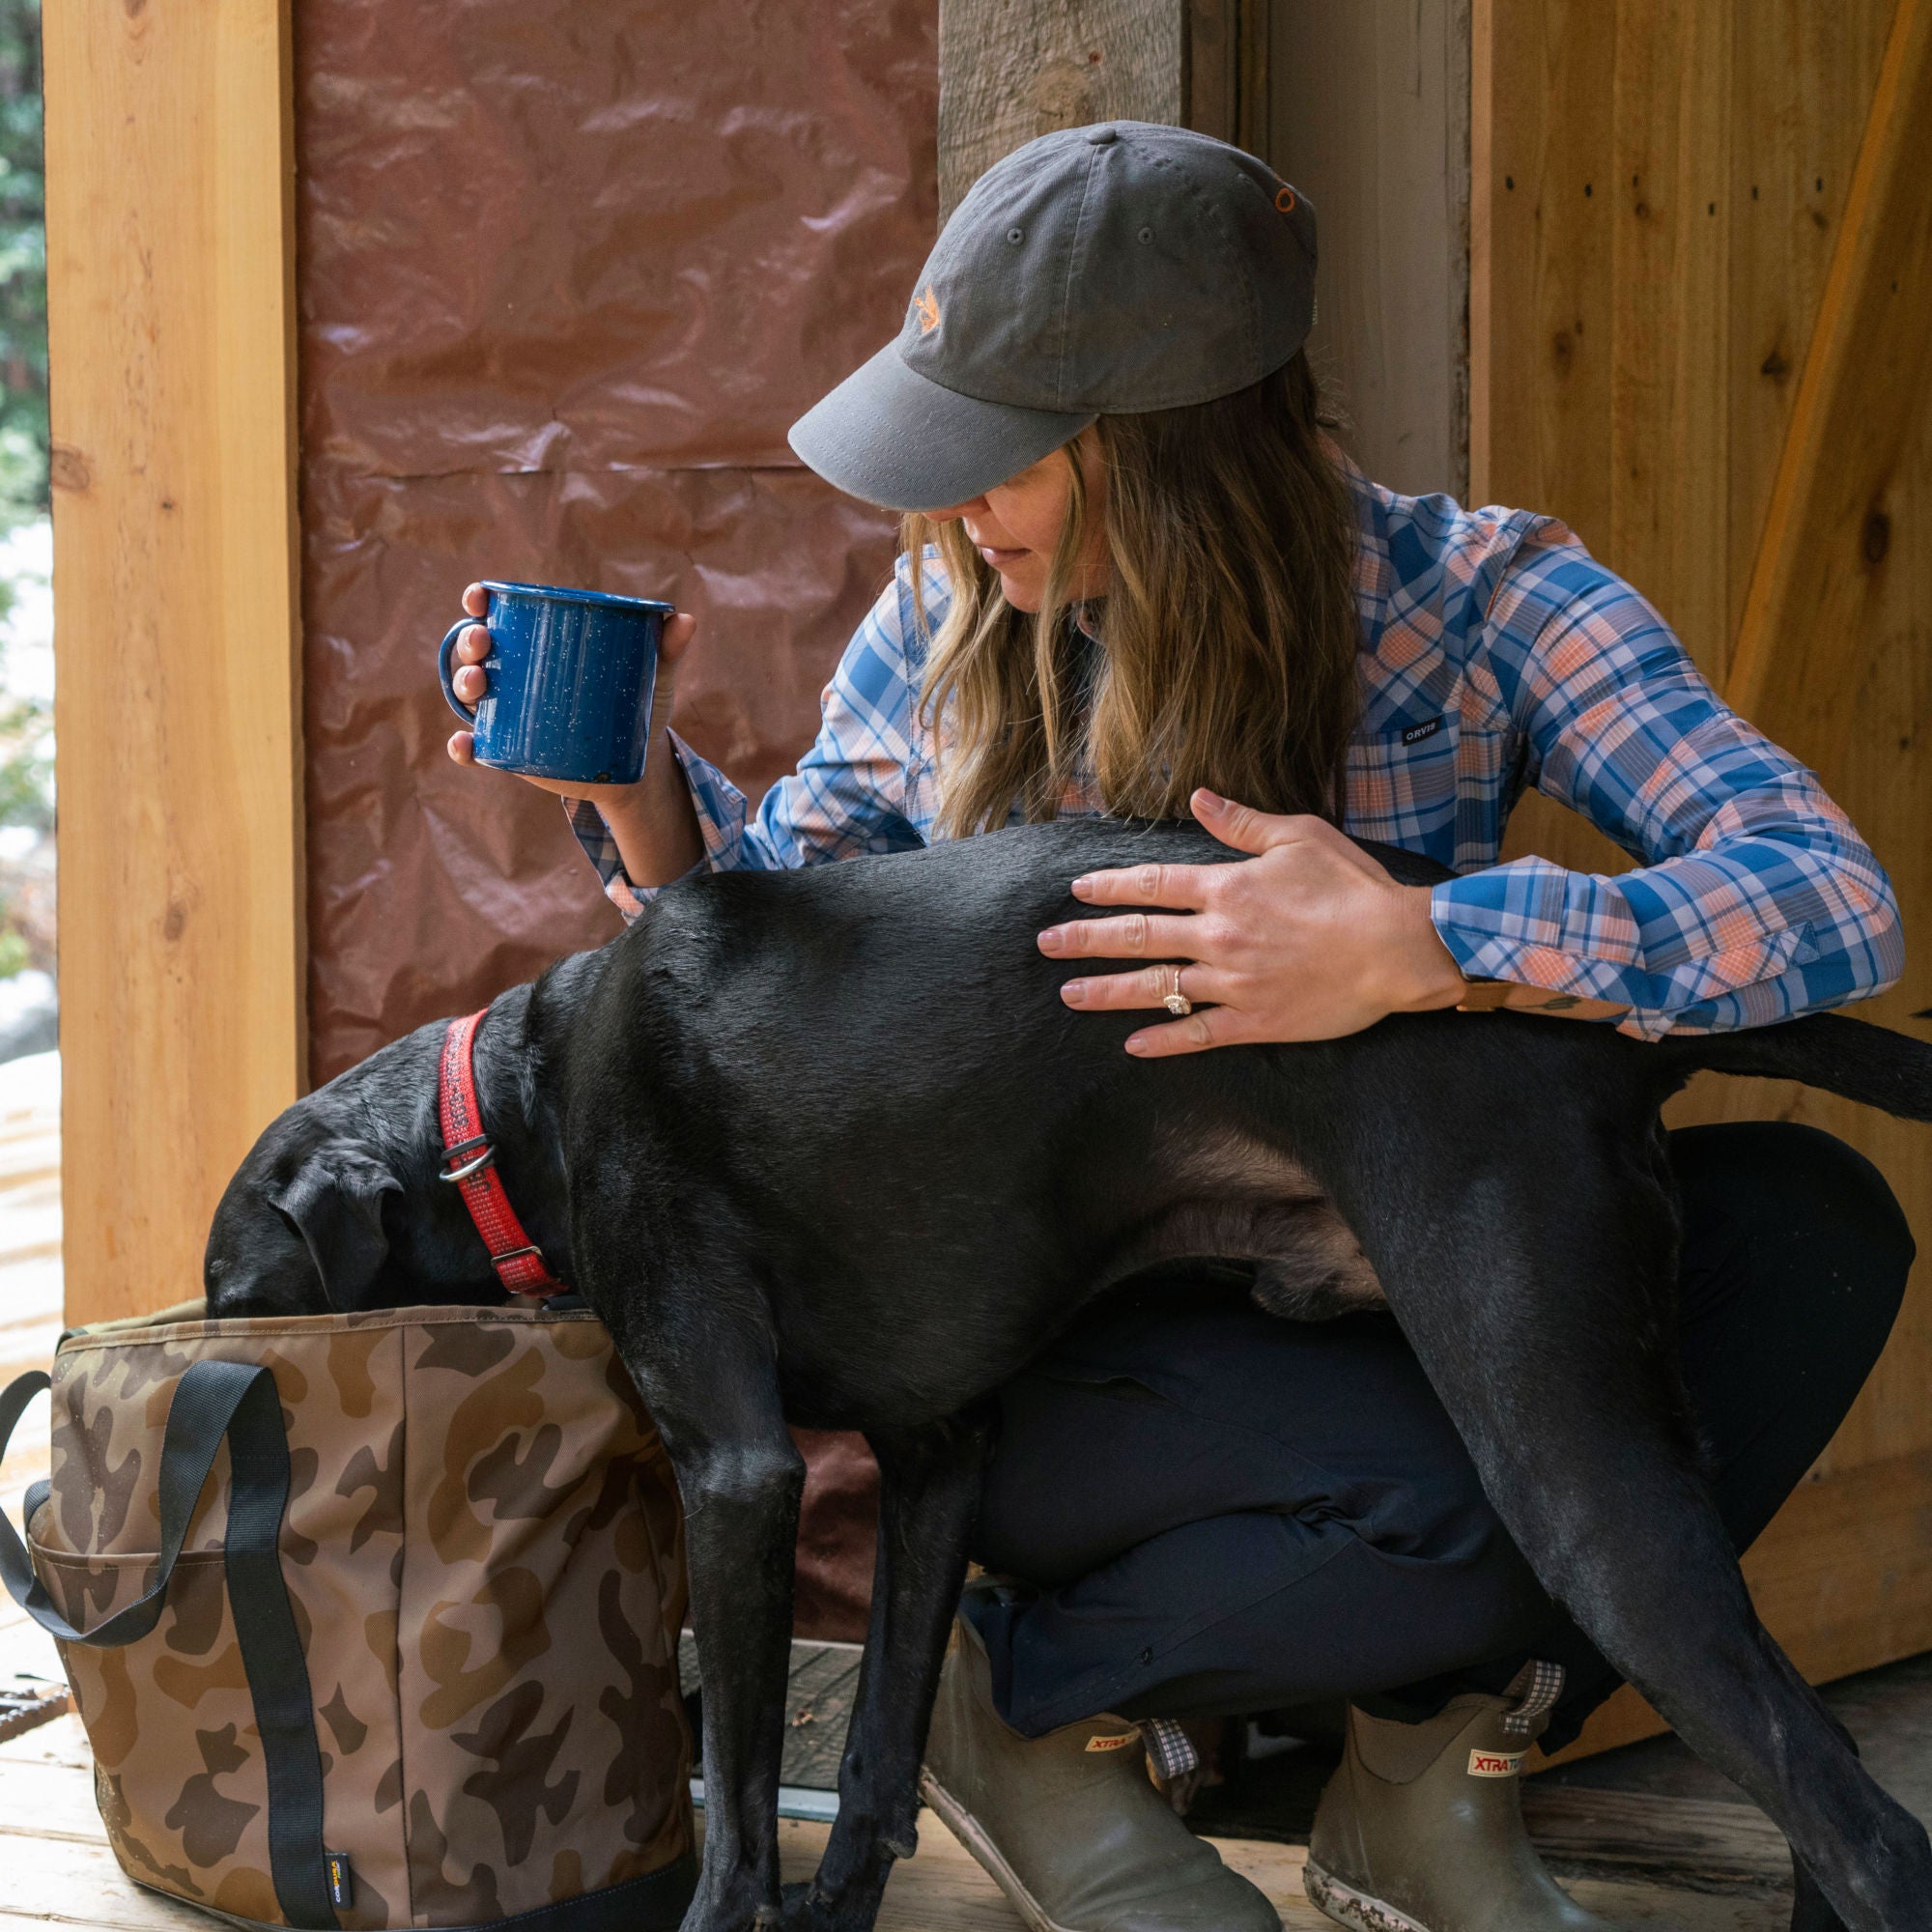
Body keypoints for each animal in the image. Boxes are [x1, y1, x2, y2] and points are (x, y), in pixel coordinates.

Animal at [208, 819, 1932, 1932]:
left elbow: (740, 1795)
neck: (513, 1099)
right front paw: (843, 1906)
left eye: (234, 1291)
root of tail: (1593, 1021)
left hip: (1572, 1471)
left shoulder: (741, 1476)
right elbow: (882, 1746)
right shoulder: (936, 1458)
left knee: (1853, 1819)